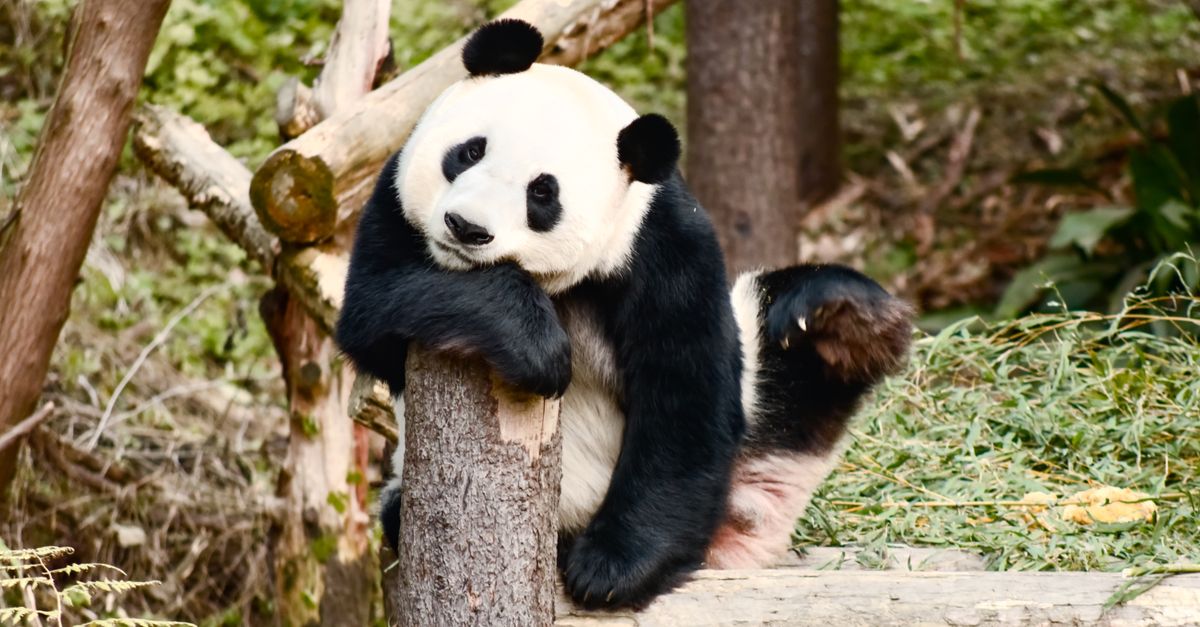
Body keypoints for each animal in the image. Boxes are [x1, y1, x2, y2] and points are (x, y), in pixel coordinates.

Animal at [335, 19, 913, 610]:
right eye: (469, 151)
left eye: (542, 194)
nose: (465, 227)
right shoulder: (393, 198)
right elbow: (375, 307)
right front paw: (536, 347)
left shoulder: (662, 244)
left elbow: (683, 391)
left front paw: (610, 570)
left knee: (784, 363)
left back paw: (841, 322)